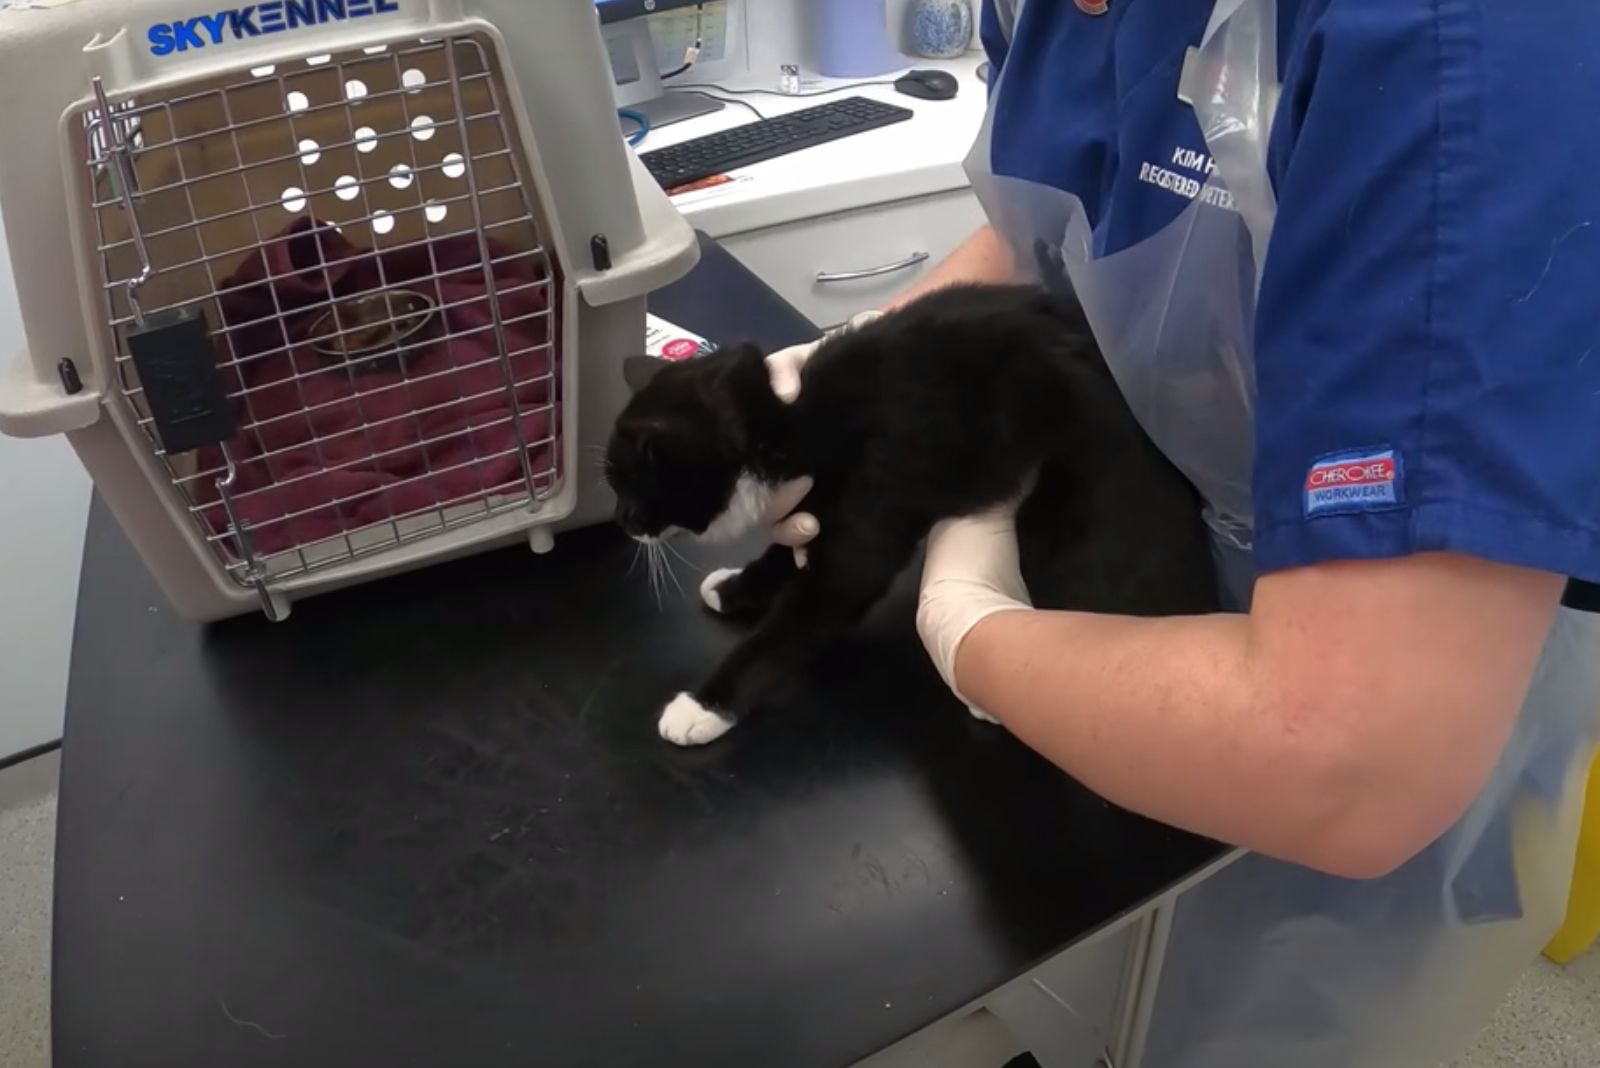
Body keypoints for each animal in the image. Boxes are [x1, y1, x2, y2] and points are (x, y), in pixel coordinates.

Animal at [601, 286, 1209, 751]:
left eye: (630, 490)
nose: (621, 522)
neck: (791, 425)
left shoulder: (871, 498)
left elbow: (792, 623)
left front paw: (703, 706)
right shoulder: (814, 506)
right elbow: (784, 553)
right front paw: (735, 586)